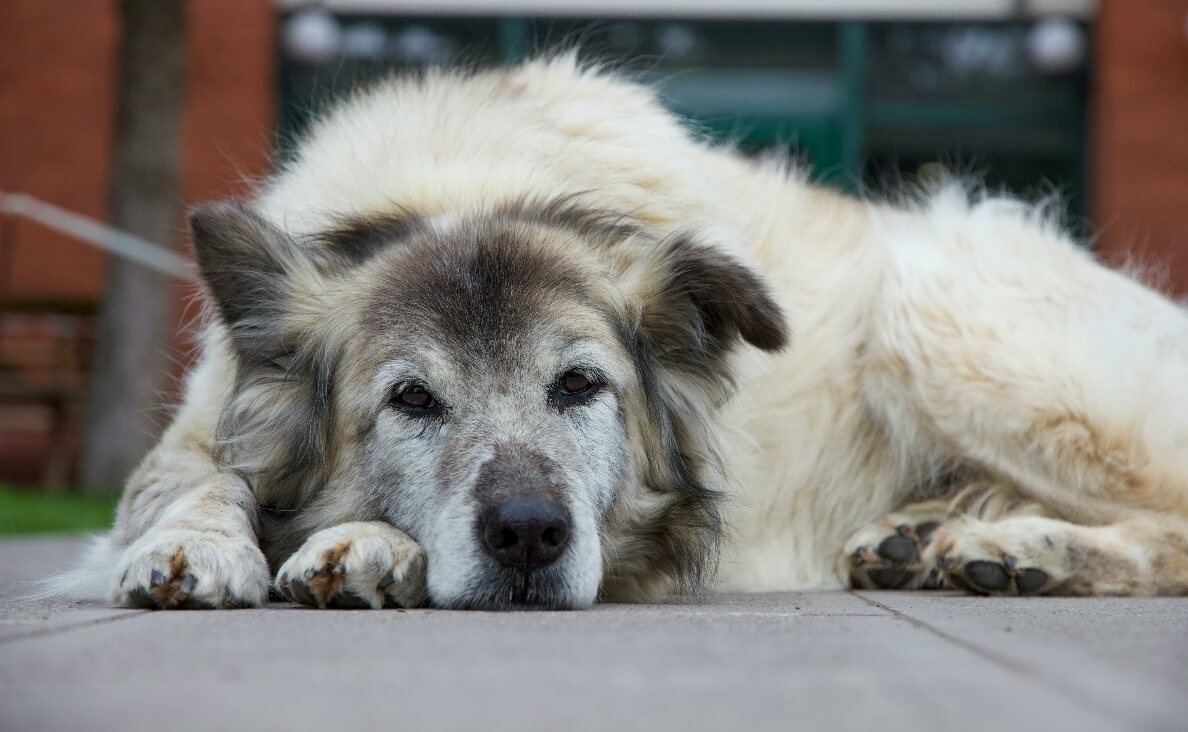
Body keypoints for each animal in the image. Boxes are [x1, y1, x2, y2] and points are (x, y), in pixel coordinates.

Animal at [48, 54, 1188, 608]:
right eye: (411, 399)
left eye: (580, 387)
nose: (528, 535)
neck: (470, 189)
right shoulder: (198, 429)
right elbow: (199, 483)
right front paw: (195, 547)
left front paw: (364, 544)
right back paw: (923, 539)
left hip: (933, 302)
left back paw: (1015, 548)